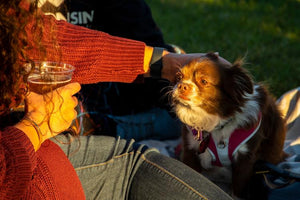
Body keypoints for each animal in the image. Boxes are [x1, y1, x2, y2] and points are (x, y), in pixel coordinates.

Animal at [171, 52, 286, 199]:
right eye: (179, 77)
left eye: (204, 81)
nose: (182, 85)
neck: (217, 123)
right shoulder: (190, 151)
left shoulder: (245, 159)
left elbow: (238, 189)